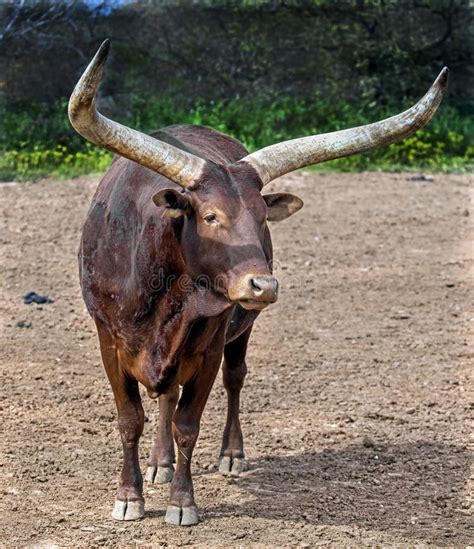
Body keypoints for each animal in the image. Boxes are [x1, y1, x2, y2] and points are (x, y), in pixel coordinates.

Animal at [68, 40, 446, 524]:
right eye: (211, 216)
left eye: (263, 217)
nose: (263, 286)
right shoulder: (109, 341)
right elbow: (130, 418)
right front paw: (130, 496)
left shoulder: (207, 344)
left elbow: (188, 423)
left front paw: (182, 503)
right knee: (166, 394)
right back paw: (159, 463)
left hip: (239, 332)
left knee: (233, 379)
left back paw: (229, 454)